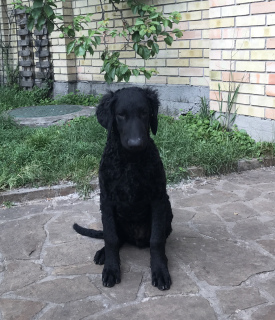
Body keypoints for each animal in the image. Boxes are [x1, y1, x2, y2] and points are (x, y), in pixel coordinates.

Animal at [73, 87, 172, 290]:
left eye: (144, 113)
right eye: (120, 115)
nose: (136, 143)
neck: (130, 161)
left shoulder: (158, 199)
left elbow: (156, 240)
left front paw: (160, 270)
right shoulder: (107, 200)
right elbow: (111, 238)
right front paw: (111, 269)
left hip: (168, 209)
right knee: (116, 238)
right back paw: (103, 254)